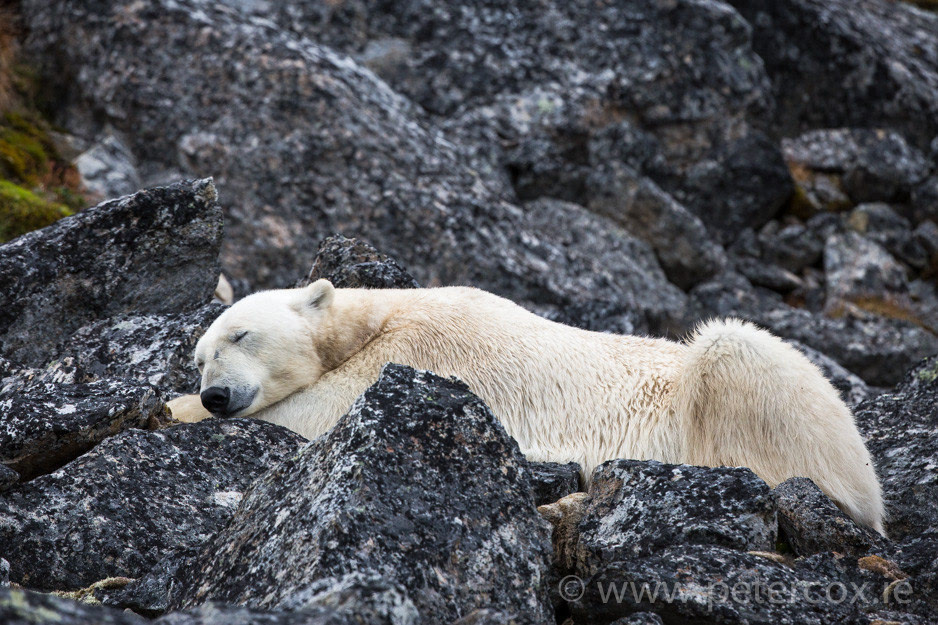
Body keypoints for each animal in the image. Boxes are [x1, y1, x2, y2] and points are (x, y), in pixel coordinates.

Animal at [170, 280, 884, 532]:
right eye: (200, 357)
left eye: (241, 335)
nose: (215, 392)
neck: (379, 315)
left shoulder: (421, 348)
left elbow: (320, 410)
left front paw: (172, 411)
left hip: (764, 395)